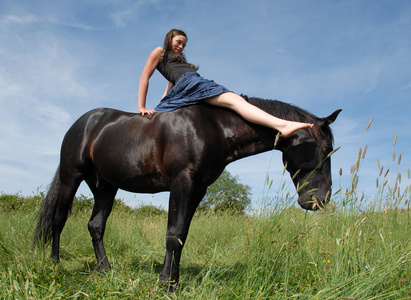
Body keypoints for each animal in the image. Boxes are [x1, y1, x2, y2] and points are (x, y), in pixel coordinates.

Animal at [34, 96, 342, 288]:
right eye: (326, 148)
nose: (319, 200)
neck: (213, 127)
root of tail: (84, 122)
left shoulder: (199, 189)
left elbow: (182, 235)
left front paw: (174, 280)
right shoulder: (182, 182)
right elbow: (173, 234)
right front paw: (166, 284)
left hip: (105, 186)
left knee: (95, 226)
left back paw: (105, 269)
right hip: (71, 176)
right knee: (59, 219)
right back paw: (55, 263)